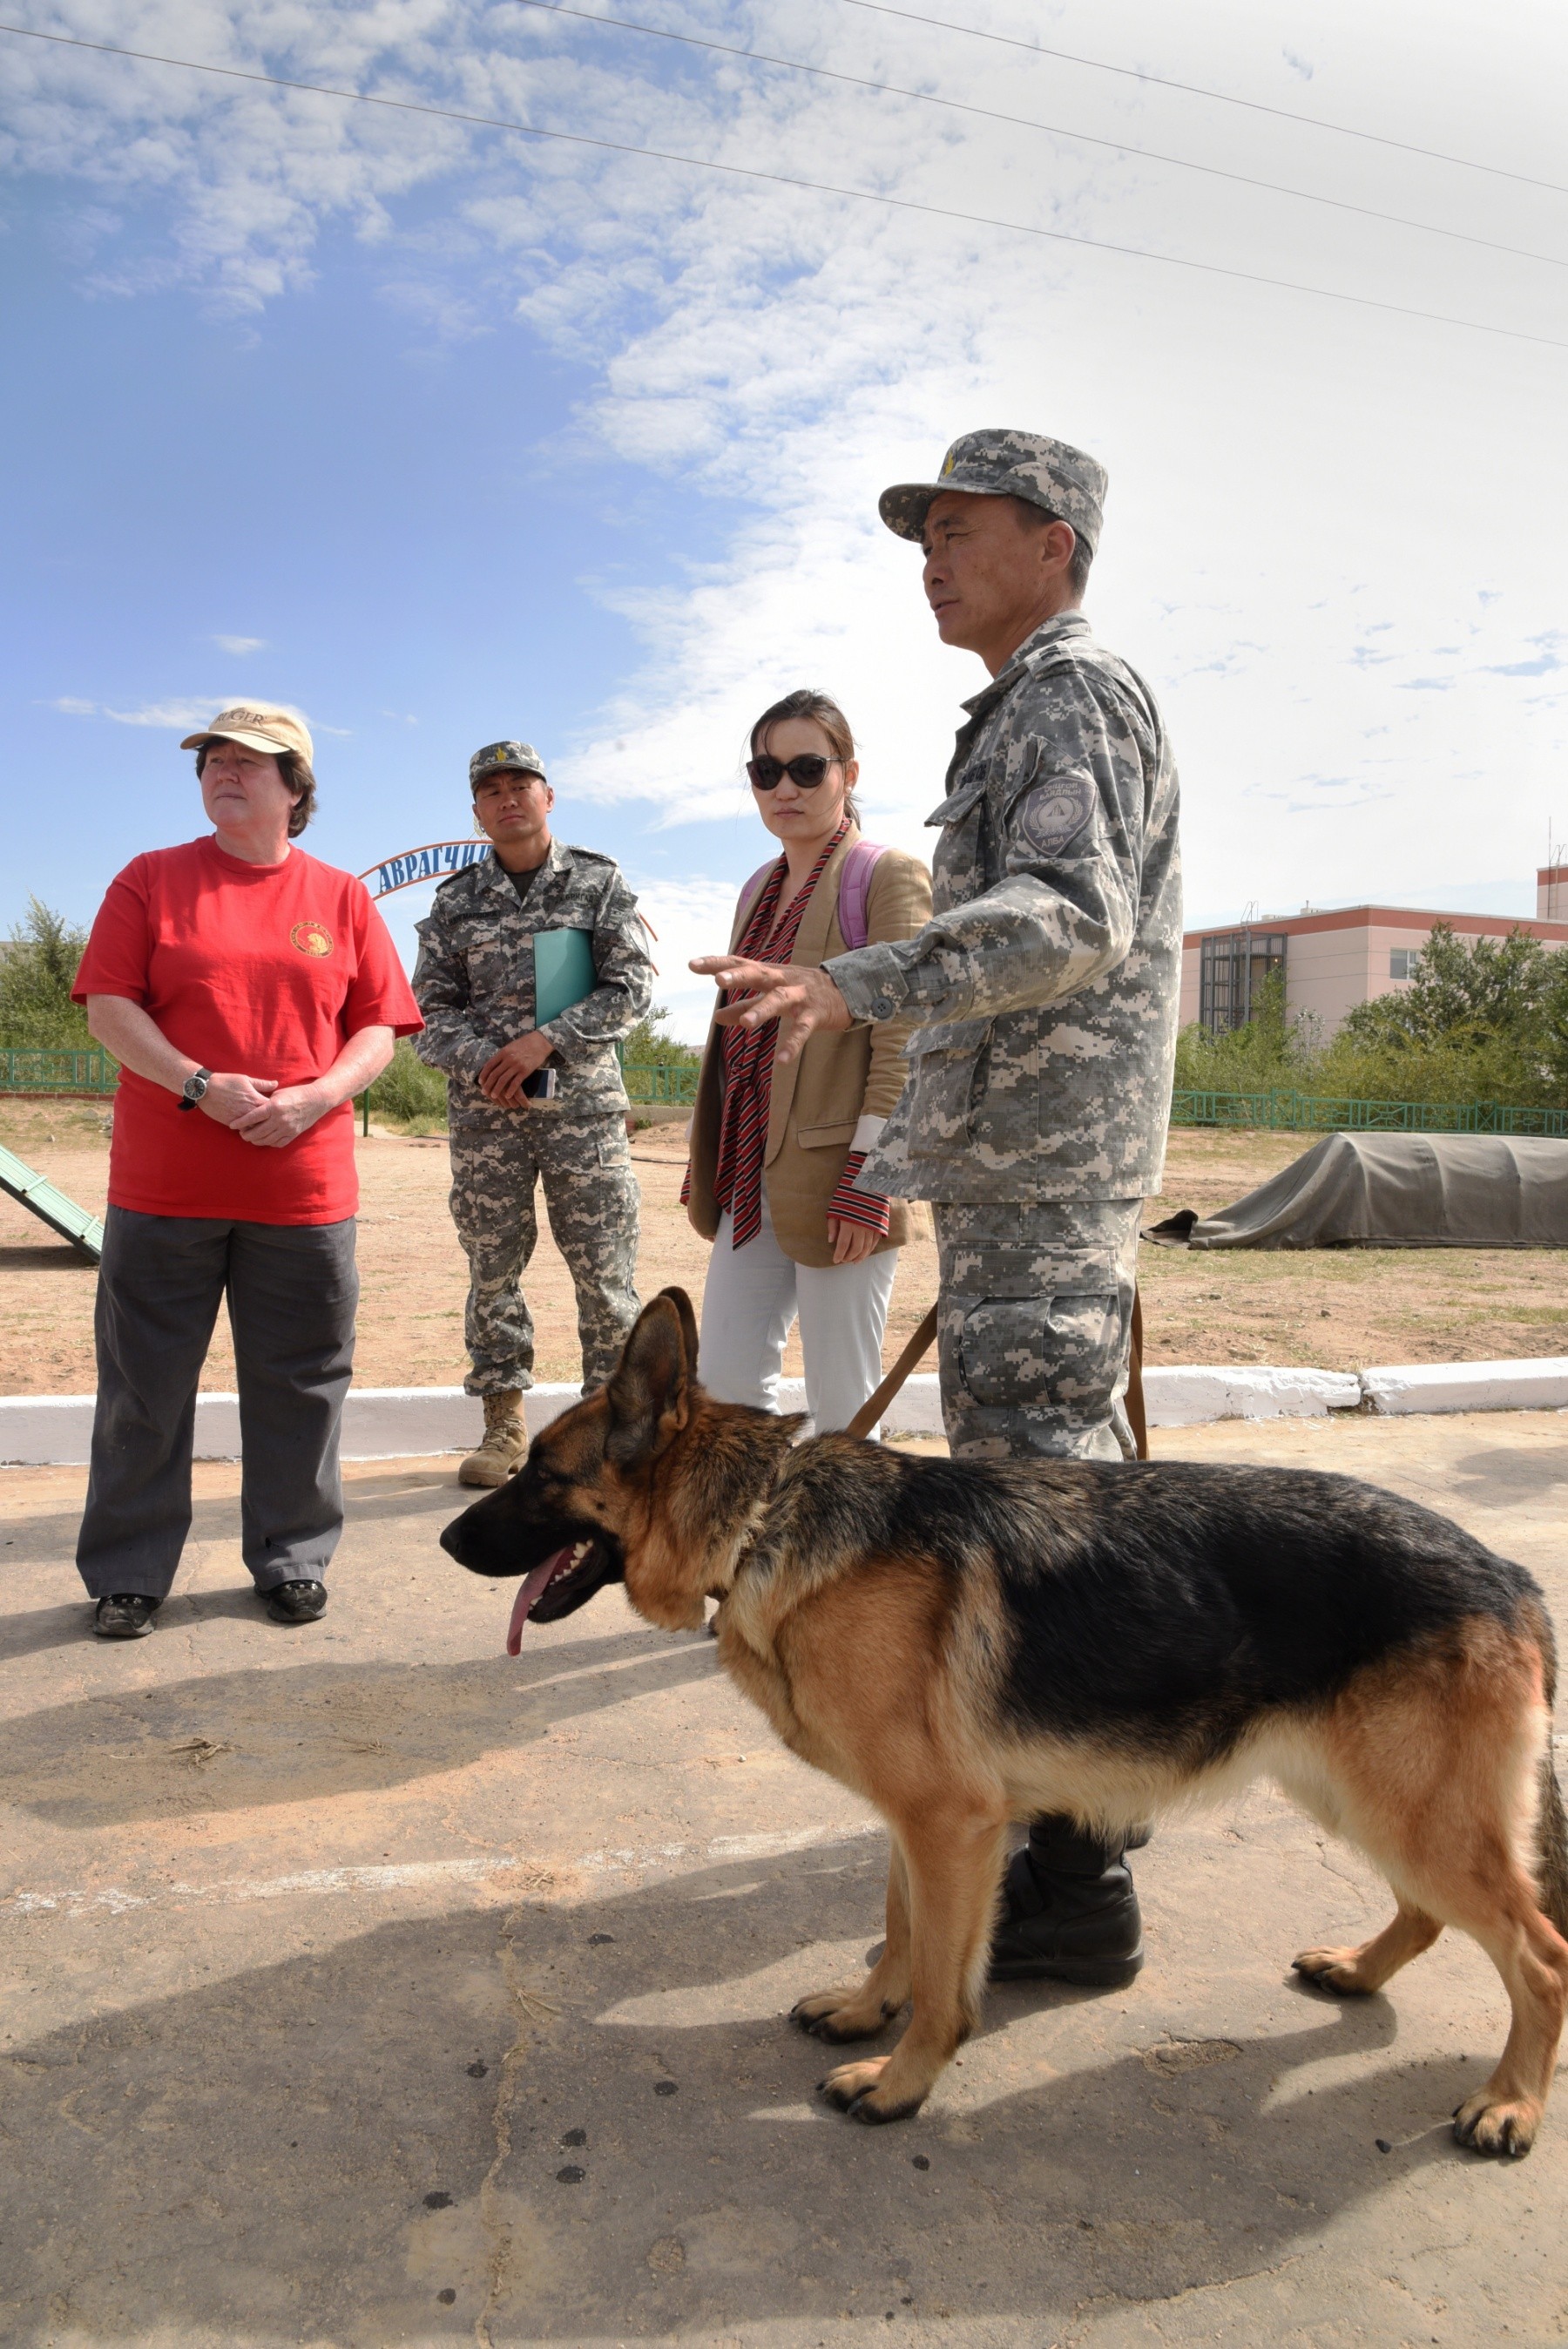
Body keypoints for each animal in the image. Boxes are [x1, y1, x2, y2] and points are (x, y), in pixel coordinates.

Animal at [438, 1296, 1568, 2151]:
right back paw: (1358, 1970)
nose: (448, 1539)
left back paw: (1510, 2102)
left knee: (1541, 1952)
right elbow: (901, 1926)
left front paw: (900, 2079)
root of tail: (1509, 1573)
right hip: (1359, 1795)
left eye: (543, 1473)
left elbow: (946, 1976)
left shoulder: (953, 1824)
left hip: (1410, 1810)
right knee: (1429, 1913)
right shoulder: (920, 1823)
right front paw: (866, 2009)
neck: (765, 1520)